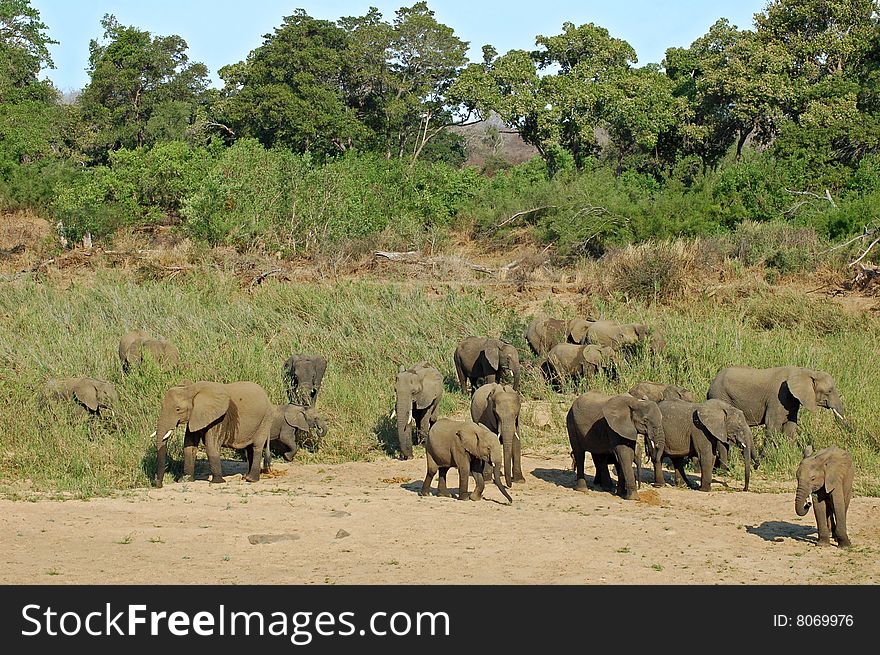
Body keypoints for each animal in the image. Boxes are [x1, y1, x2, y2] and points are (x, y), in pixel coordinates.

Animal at [704, 366, 848, 444]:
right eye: (829, 391)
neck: (806, 372)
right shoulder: (778, 397)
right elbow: (773, 425)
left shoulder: (792, 400)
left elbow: (790, 426)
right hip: (720, 395)